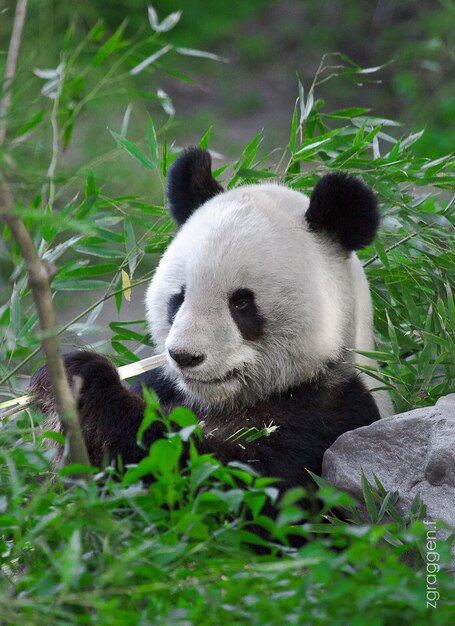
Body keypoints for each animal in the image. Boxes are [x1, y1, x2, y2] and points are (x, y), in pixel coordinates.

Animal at [30, 147, 394, 498]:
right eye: (179, 297)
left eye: (242, 303)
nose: (185, 356)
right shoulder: (161, 385)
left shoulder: (333, 415)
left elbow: (226, 484)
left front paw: (84, 379)